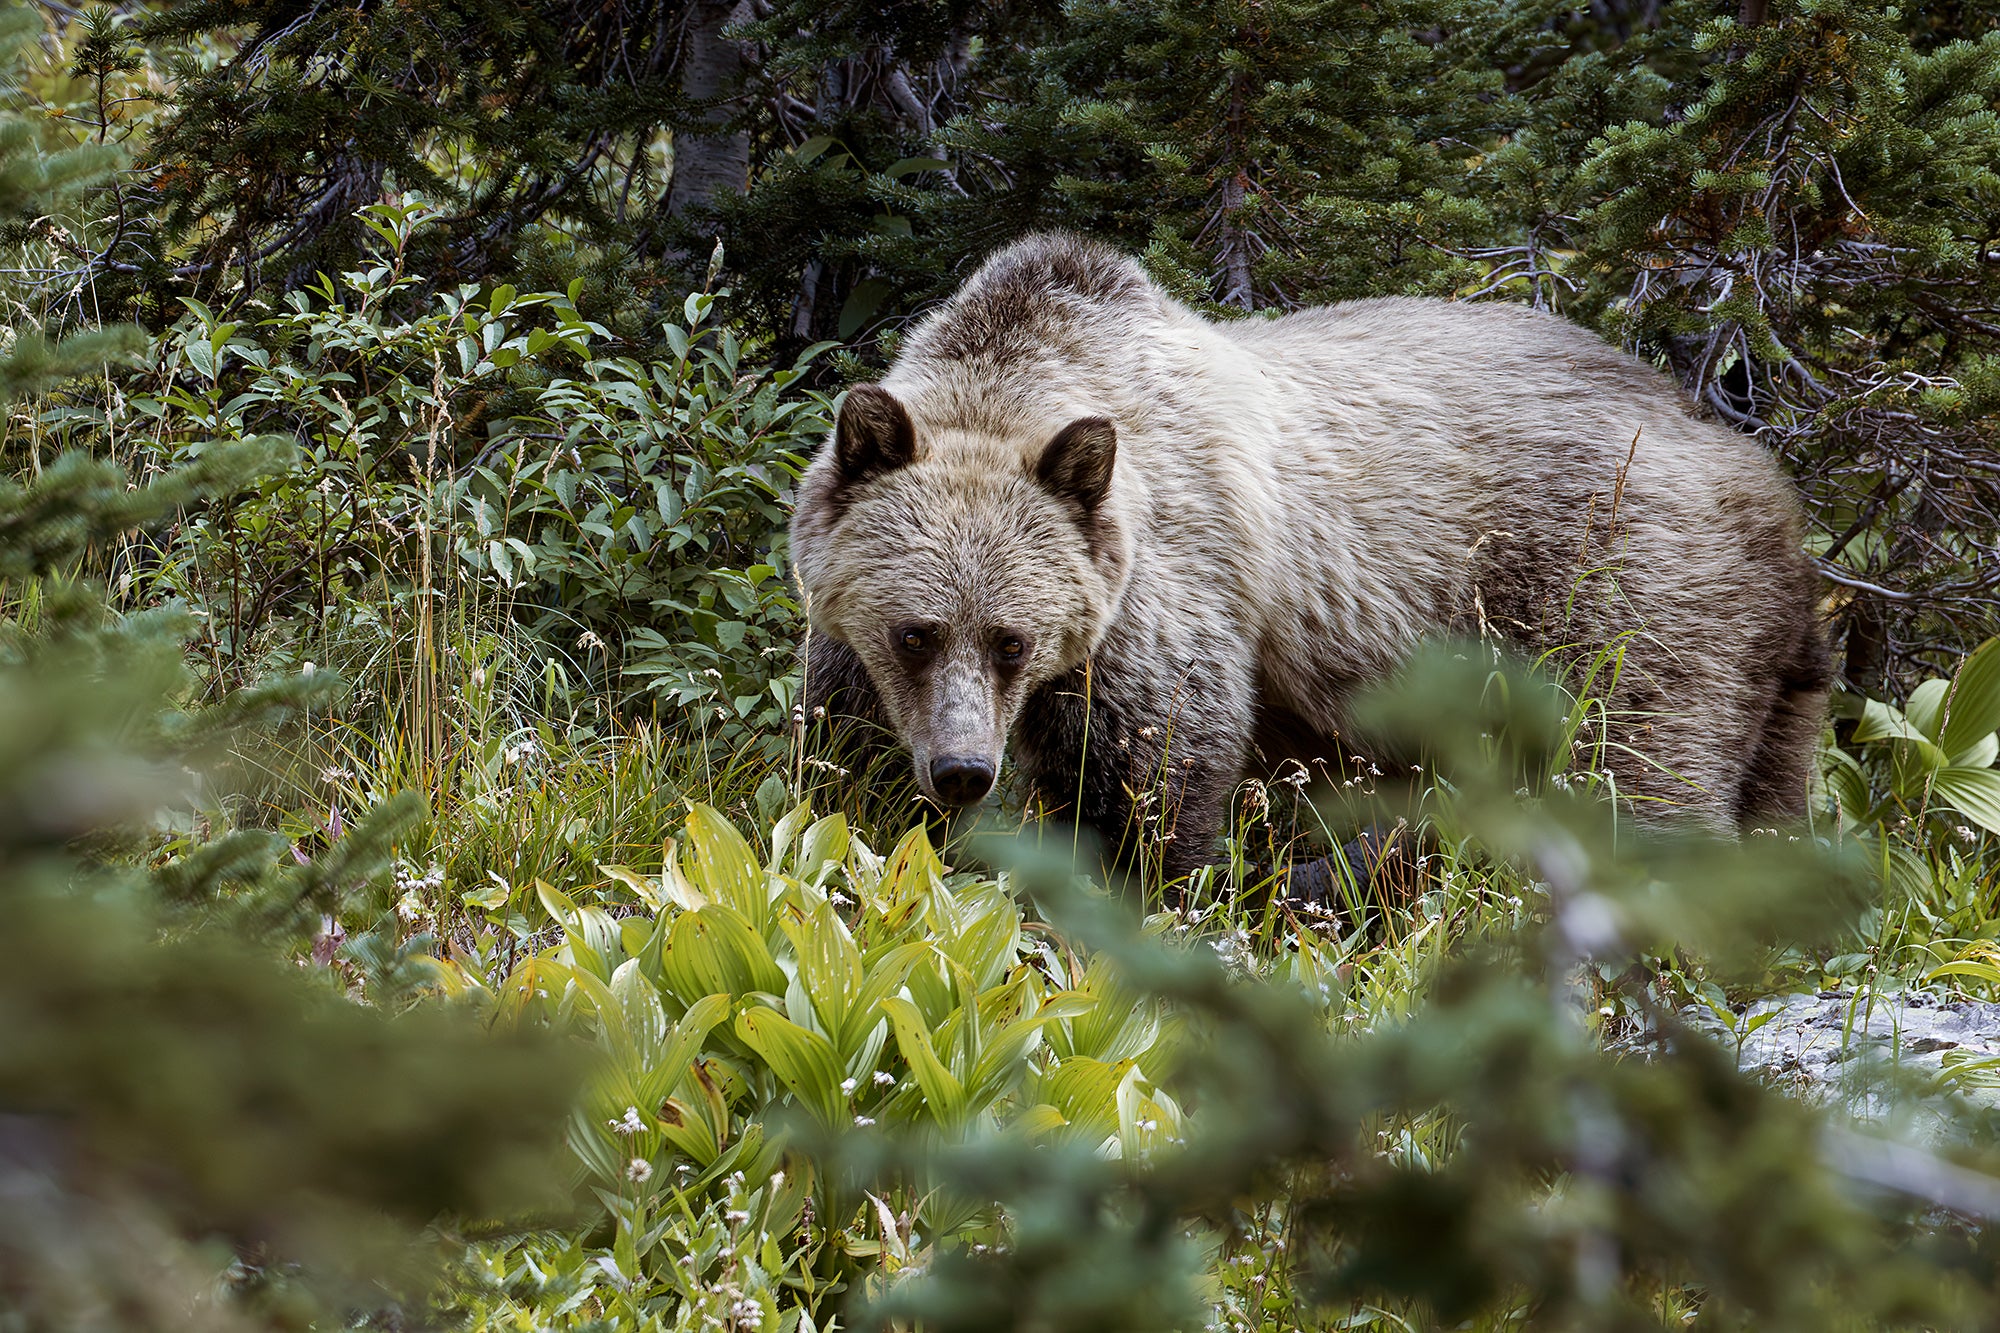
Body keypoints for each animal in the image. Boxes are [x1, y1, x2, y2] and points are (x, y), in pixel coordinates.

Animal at [788, 233, 1824, 876]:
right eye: (918, 632)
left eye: (1012, 639)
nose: (964, 768)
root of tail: (1758, 471)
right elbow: (841, 758)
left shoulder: (1162, 592)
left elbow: (1157, 772)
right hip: (1767, 661)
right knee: (1770, 781)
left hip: (1616, 582)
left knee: (1639, 764)